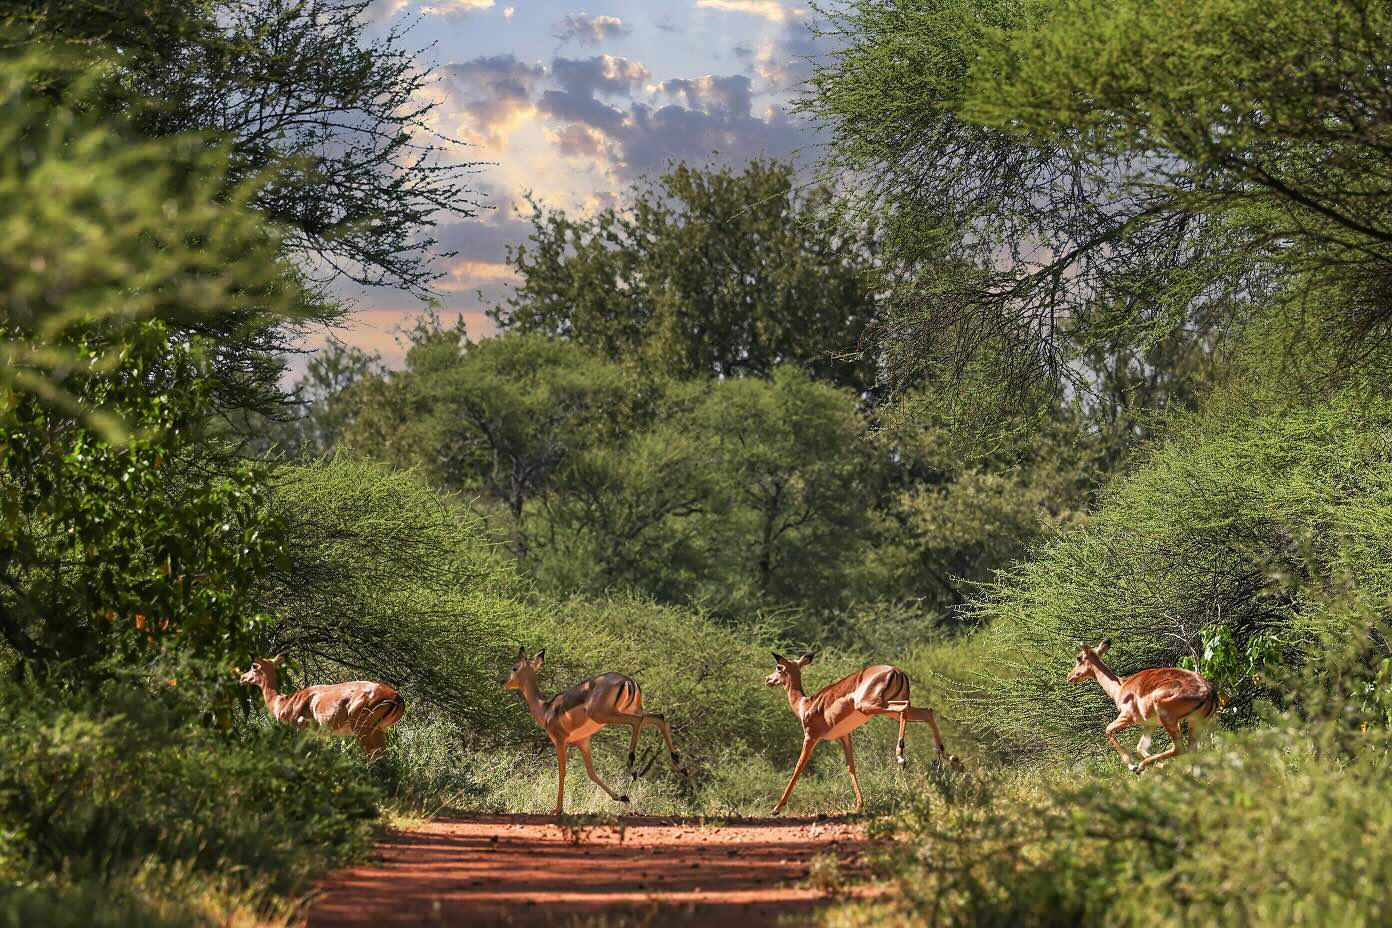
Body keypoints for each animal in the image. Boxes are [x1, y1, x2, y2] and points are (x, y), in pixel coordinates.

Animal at [238, 654, 405, 760]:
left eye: (254, 666)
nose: (242, 677)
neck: (283, 701)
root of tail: (397, 698)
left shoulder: (299, 729)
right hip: (378, 731)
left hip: (364, 732)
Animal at [503, 647, 689, 815]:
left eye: (514, 667)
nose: (503, 683)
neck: (546, 709)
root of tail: (628, 681)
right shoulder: (583, 741)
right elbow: (591, 773)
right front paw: (622, 797)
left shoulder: (560, 741)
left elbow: (562, 772)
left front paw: (557, 809)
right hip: (630, 711)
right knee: (659, 718)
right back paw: (680, 767)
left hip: (606, 715)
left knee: (637, 722)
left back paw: (633, 767)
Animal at [766, 653, 957, 815]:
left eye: (778, 667)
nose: (767, 679)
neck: (804, 705)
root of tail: (896, 670)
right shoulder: (845, 736)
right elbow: (851, 767)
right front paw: (859, 805)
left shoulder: (811, 736)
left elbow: (798, 768)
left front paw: (776, 808)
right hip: (886, 708)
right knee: (926, 712)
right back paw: (949, 757)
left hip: (870, 706)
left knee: (906, 707)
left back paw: (901, 756)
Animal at [1068, 638, 1218, 772]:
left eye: (1079, 657)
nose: (1070, 676)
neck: (1120, 687)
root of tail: (1209, 692)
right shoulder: (1150, 724)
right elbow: (1140, 747)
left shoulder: (1126, 717)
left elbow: (1108, 729)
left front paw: (1133, 766)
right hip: (1193, 724)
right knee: (1193, 753)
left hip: (1169, 719)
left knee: (1180, 749)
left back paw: (1143, 766)